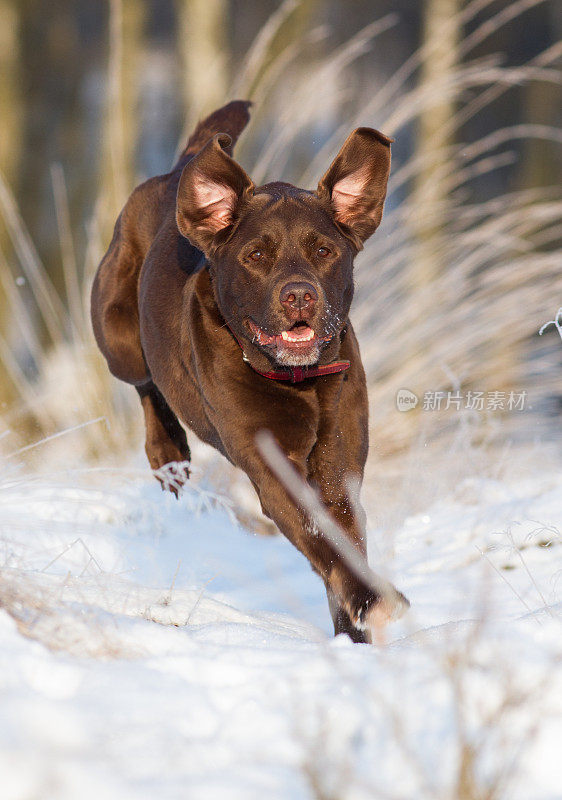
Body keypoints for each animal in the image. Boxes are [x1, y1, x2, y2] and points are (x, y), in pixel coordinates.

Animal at [92, 100, 406, 644]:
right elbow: (318, 535)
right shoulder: (270, 466)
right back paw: (168, 454)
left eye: (324, 251)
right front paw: (372, 602)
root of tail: (181, 170)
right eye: (257, 254)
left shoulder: (339, 464)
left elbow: (343, 537)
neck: (301, 381)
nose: (299, 295)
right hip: (118, 336)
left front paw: (354, 631)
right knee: (146, 381)